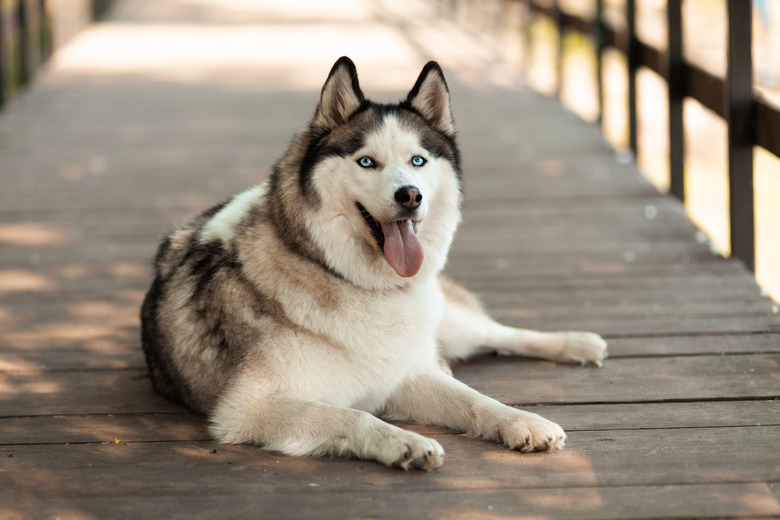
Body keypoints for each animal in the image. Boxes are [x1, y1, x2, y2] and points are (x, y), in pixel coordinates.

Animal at [142, 57, 608, 472]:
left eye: (418, 160)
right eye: (367, 161)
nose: (410, 195)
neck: (358, 282)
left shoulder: (405, 374)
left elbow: (476, 400)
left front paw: (521, 421)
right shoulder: (248, 408)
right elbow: (353, 414)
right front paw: (405, 443)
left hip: (448, 324)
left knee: (497, 332)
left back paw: (578, 343)